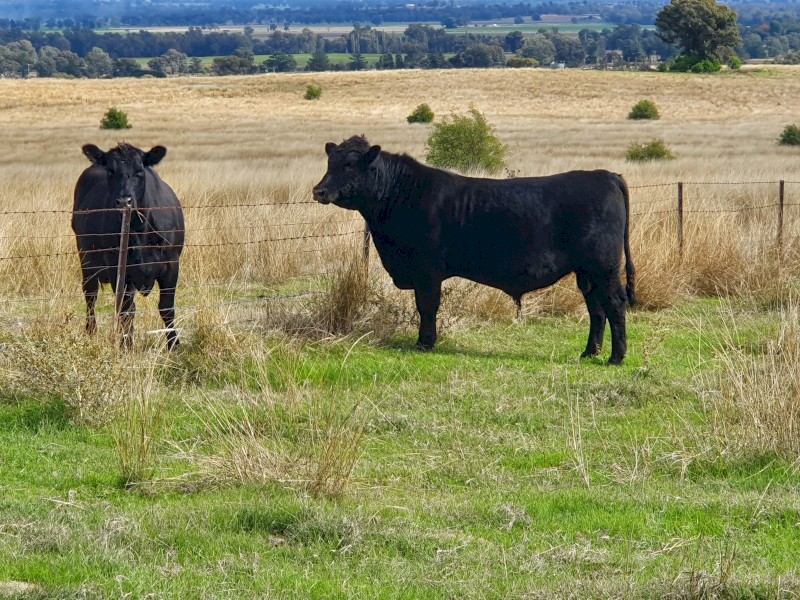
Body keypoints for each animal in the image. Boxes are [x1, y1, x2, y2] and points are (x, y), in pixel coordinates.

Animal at [72, 143, 185, 349]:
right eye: (110, 171)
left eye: (140, 171)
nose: (124, 201)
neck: (140, 230)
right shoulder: (119, 269)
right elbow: (126, 311)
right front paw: (126, 345)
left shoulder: (172, 264)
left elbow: (166, 308)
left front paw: (174, 345)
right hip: (86, 258)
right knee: (90, 294)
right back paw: (91, 331)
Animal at [313, 135, 636, 365]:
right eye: (329, 164)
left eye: (349, 165)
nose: (319, 191)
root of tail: (605, 174)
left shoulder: (426, 270)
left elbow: (426, 306)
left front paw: (425, 343)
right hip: (587, 273)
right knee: (596, 308)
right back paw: (589, 353)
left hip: (604, 268)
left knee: (615, 304)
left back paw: (616, 358)